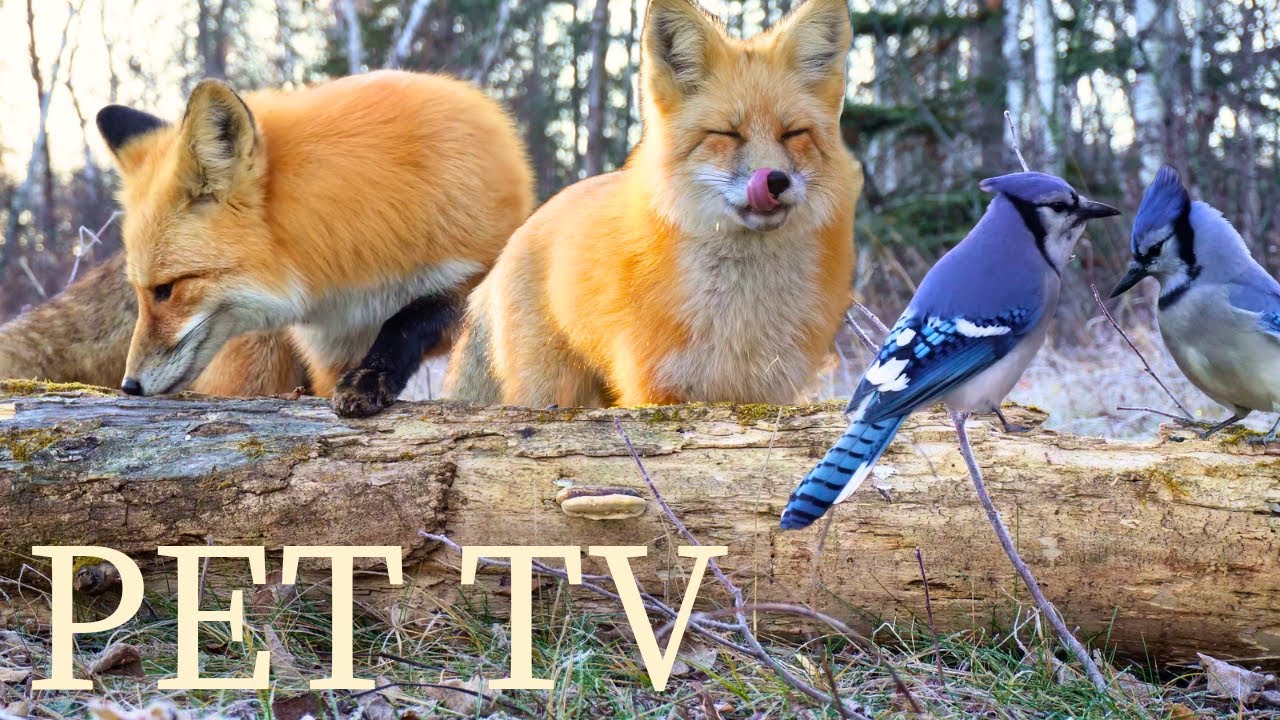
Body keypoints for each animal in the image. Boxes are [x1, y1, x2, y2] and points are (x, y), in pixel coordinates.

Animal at [96, 70, 533, 416]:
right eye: (141, 291)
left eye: (166, 289)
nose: (129, 386)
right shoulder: (328, 348)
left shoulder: (475, 267)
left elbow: (413, 318)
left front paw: (371, 377)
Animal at [446, 0, 861, 407]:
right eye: (726, 133)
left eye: (793, 133)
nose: (775, 180)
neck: (739, 317)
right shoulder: (657, 391)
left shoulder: (767, 395)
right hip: (549, 393)